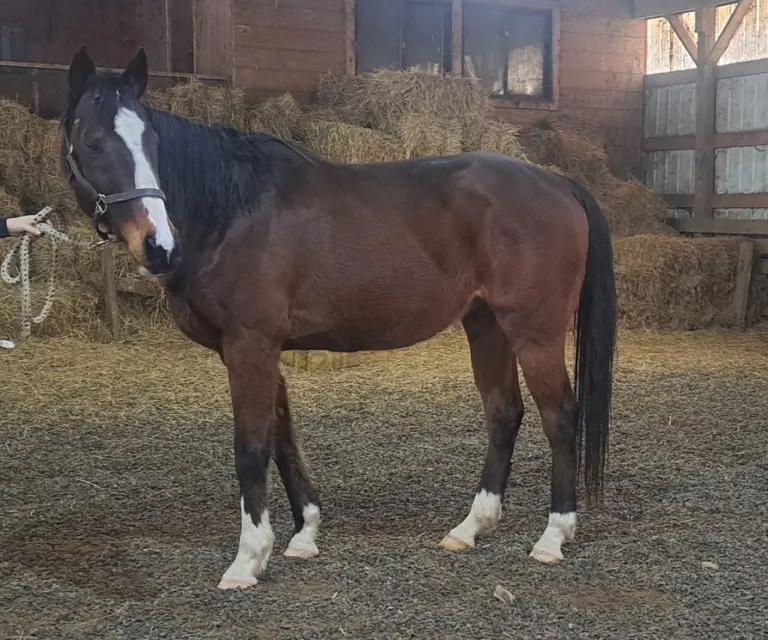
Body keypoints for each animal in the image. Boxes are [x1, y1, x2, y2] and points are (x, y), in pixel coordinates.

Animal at [60, 46, 617, 590]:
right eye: (92, 142)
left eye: (151, 142)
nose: (158, 245)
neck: (232, 213)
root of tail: (556, 182)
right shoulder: (263, 351)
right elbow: (283, 437)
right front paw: (303, 533)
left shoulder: (249, 346)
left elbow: (251, 447)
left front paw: (248, 560)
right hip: (486, 325)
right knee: (504, 413)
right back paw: (470, 528)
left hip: (534, 331)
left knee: (559, 416)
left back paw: (552, 537)